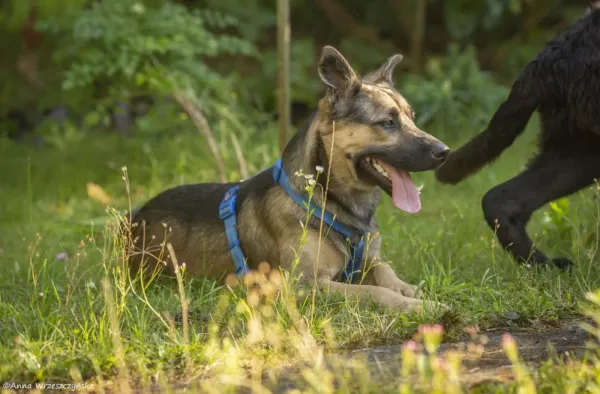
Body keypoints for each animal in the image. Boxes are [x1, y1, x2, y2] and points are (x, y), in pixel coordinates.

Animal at [129, 44, 452, 312]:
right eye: (387, 122)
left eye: (412, 117)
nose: (445, 151)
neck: (329, 199)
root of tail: (134, 219)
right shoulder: (306, 284)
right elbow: (374, 292)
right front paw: (415, 305)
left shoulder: (370, 262)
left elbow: (388, 273)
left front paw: (415, 292)